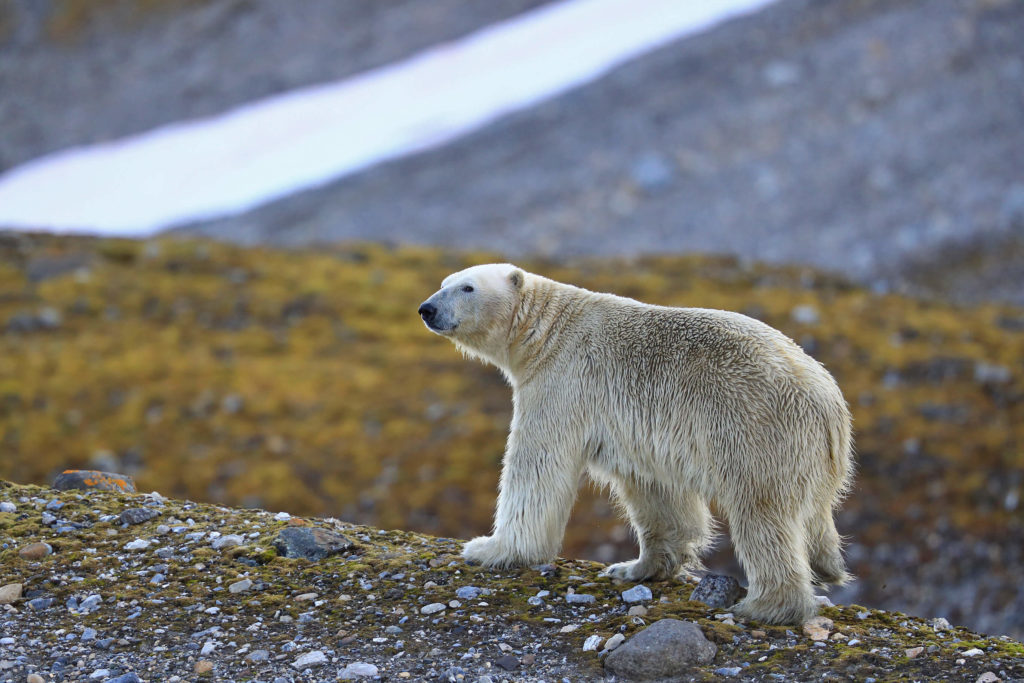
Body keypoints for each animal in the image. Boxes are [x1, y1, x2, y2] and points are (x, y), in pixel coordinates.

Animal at [417, 264, 856, 626]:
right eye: (443, 282)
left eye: (468, 287)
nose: (426, 308)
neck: (548, 331)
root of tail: (829, 402)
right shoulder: (641, 433)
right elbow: (656, 493)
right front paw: (635, 567)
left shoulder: (563, 383)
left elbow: (537, 465)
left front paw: (490, 548)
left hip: (756, 432)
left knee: (762, 514)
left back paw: (764, 606)